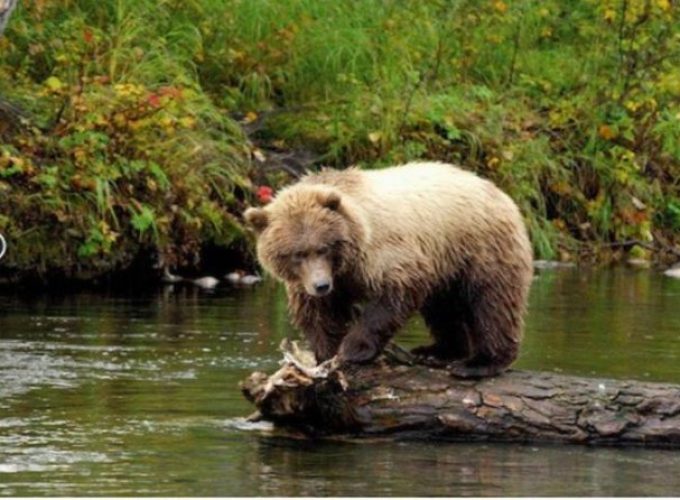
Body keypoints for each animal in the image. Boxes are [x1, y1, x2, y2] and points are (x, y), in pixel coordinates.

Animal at [242, 162, 532, 376]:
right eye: (297, 254)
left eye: (323, 247)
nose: (321, 285)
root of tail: (498, 191)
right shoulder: (313, 282)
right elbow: (318, 314)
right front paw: (326, 353)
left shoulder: (383, 252)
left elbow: (394, 292)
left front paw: (353, 349)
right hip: (446, 262)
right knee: (443, 308)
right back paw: (437, 351)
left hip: (478, 246)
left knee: (492, 302)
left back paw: (479, 362)